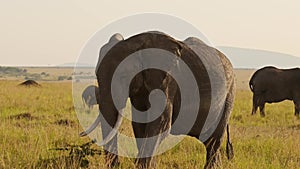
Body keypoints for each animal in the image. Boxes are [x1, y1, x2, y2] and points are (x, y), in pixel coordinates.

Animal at [80, 32, 237, 169]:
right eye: (96, 75)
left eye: (124, 76)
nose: (117, 165)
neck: (136, 44)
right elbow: (140, 123)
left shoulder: (167, 81)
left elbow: (161, 123)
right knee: (209, 141)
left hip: (229, 95)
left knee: (214, 140)